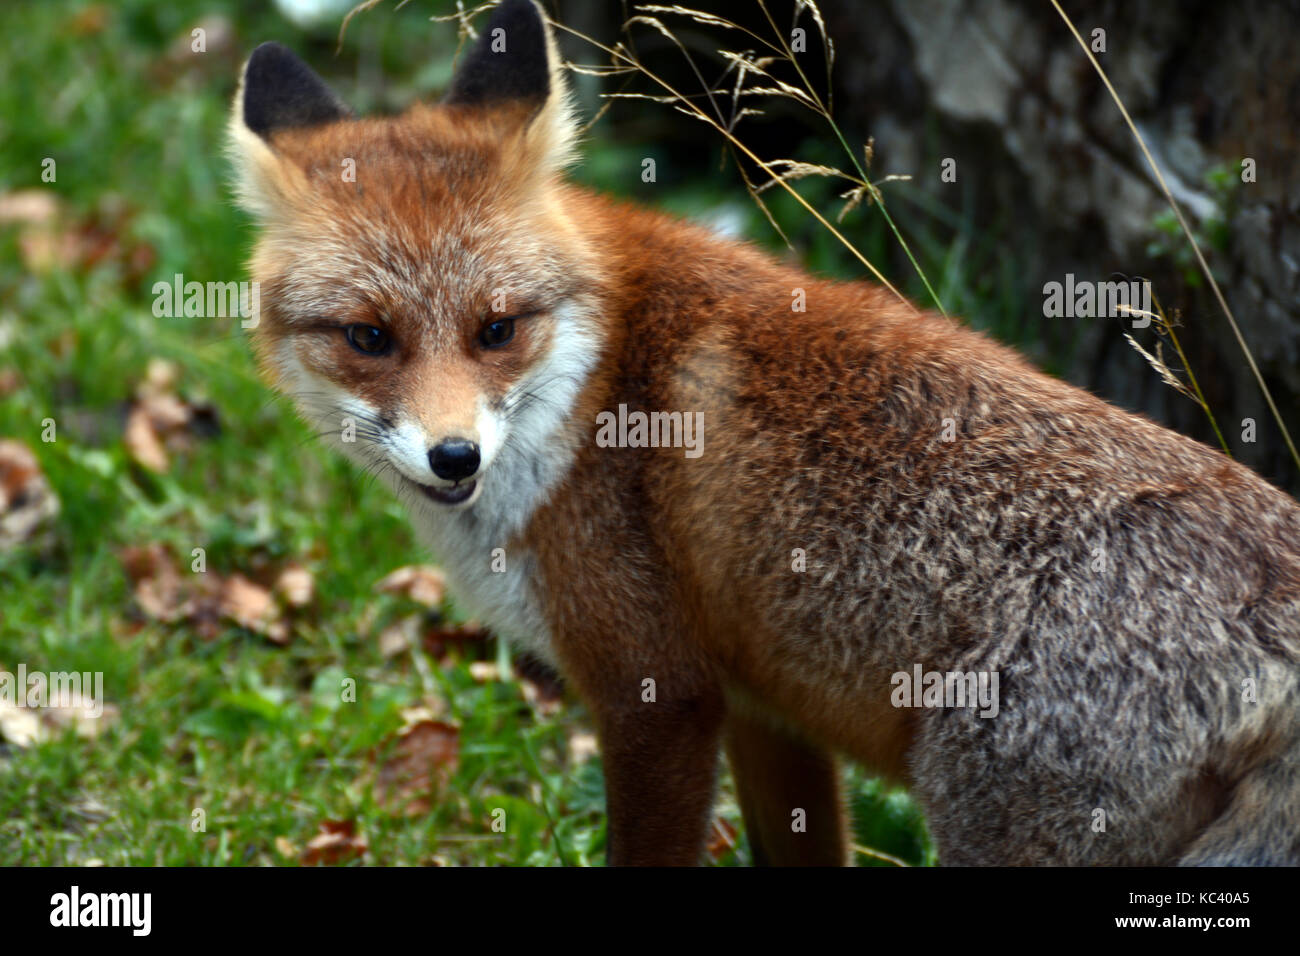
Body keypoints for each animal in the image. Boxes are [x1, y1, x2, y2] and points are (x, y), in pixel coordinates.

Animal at [227, 0, 1300, 865]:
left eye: (498, 329)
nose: (456, 456)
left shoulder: (658, 697)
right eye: (369, 338)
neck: (589, 382)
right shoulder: (760, 708)